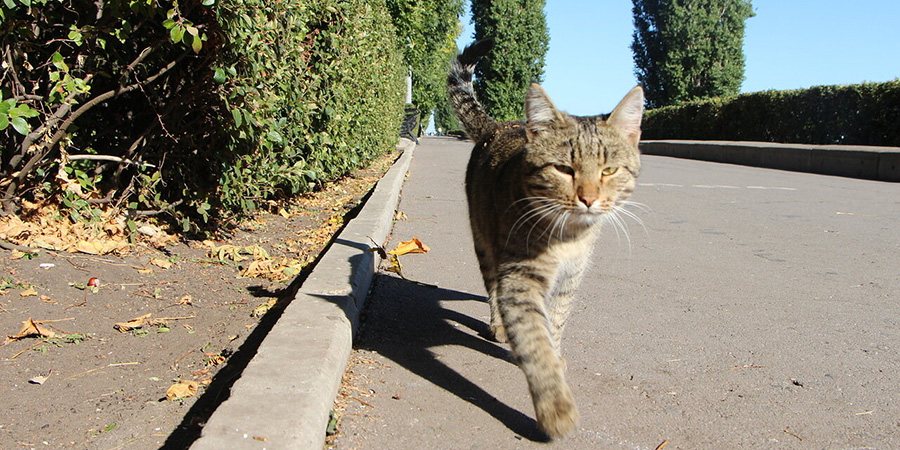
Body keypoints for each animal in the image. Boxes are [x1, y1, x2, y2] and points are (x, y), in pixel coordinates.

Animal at [446, 39, 644, 440]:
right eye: (564, 169)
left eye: (609, 170)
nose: (588, 198)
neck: (570, 236)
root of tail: (499, 125)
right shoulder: (518, 277)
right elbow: (536, 343)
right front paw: (556, 409)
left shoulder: (571, 277)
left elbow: (556, 320)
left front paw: (556, 347)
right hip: (485, 244)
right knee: (491, 287)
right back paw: (497, 326)